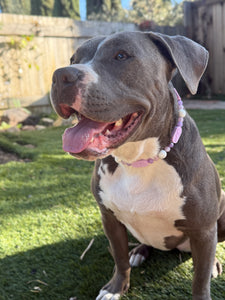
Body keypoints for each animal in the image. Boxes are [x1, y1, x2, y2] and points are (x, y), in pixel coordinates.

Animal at [51, 31, 225, 298]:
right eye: (74, 58)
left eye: (121, 55)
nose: (61, 75)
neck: (137, 160)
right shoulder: (109, 218)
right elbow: (119, 258)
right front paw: (115, 288)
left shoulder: (204, 230)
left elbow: (200, 280)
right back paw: (139, 251)